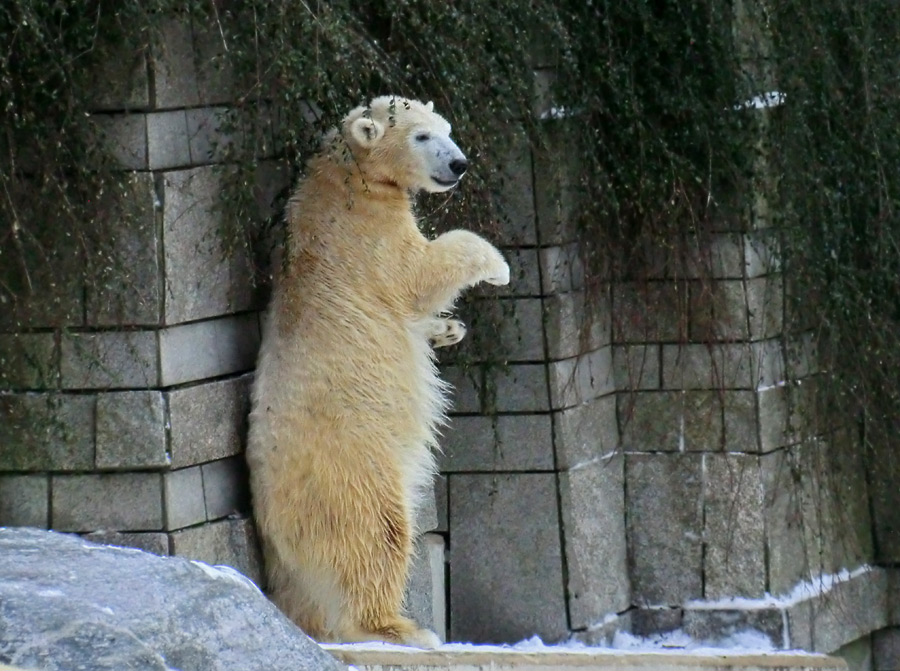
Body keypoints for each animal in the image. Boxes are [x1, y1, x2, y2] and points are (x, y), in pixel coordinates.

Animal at [246, 97, 510, 648]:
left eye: (445, 128)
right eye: (422, 136)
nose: (460, 164)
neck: (346, 174)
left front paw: (448, 329)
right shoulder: (368, 238)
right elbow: (421, 272)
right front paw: (498, 267)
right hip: (352, 471)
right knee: (376, 536)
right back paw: (403, 629)